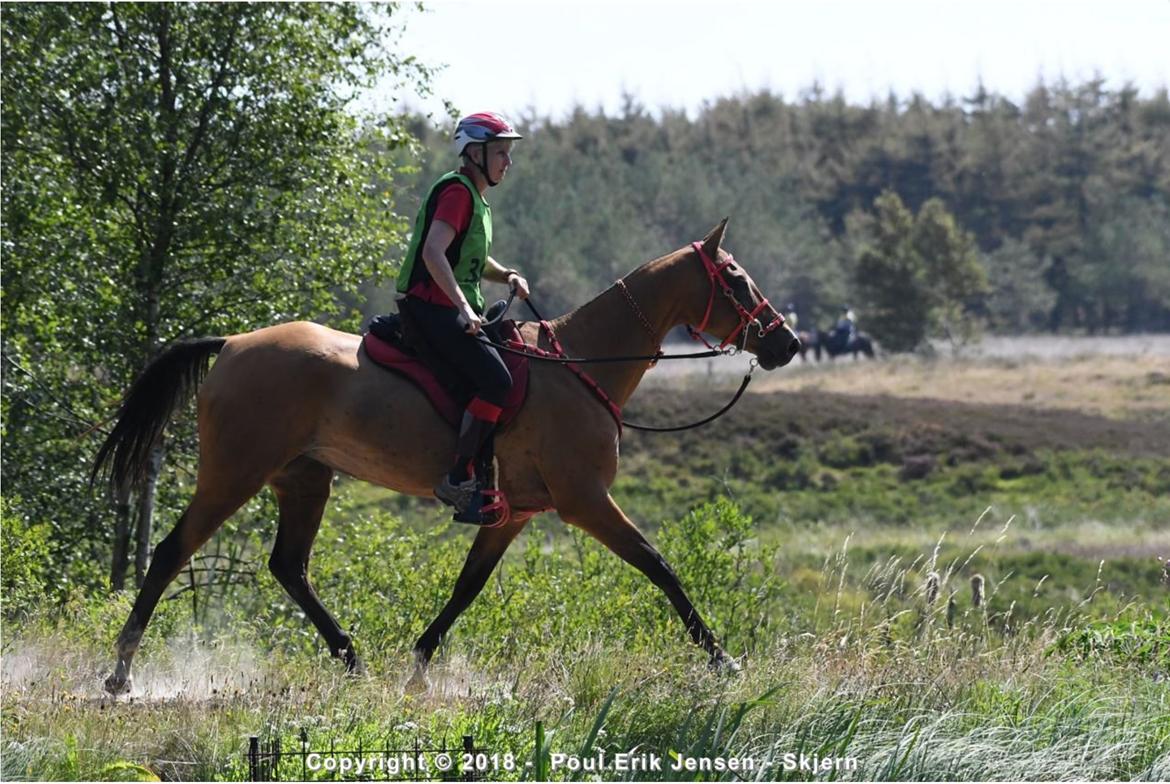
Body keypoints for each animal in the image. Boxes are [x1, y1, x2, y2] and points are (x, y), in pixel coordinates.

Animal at [95, 217, 800, 697]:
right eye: (736, 279)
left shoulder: (515, 512)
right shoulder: (585, 502)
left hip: (304, 480)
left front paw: (417, 666)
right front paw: (722, 658)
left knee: (288, 567)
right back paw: (121, 672)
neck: (577, 366)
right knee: (171, 552)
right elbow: (660, 567)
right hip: (234, 472)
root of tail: (235, 342)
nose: (787, 343)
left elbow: (468, 587)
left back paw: (351, 658)